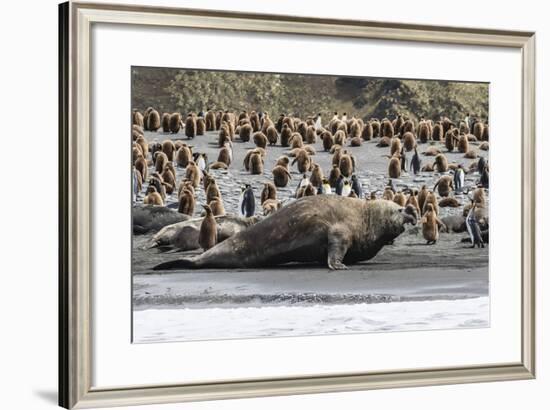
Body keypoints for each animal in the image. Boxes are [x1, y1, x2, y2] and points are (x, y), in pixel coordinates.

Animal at [153, 196, 420, 272]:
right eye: (398, 209)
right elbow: (335, 246)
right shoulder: (340, 231)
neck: (367, 217)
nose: (411, 211)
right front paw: (338, 266)